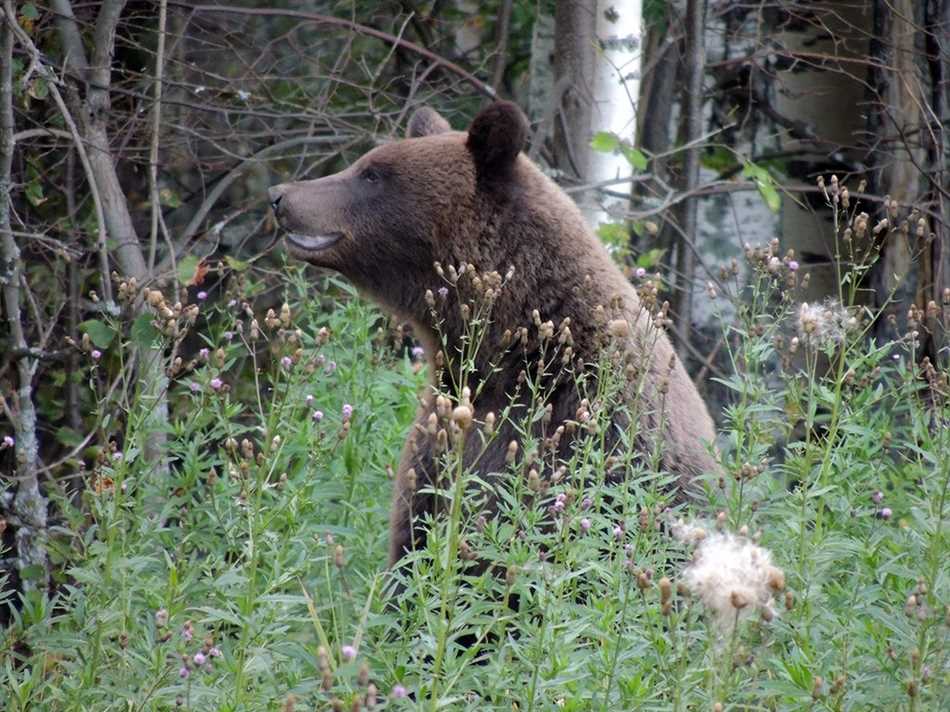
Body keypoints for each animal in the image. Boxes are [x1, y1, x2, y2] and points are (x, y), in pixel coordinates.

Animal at [266, 100, 712, 572]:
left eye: (372, 174)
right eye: (365, 164)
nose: (279, 195)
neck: (515, 351)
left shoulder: (593, 429)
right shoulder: (439, 436)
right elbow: (413, 543)